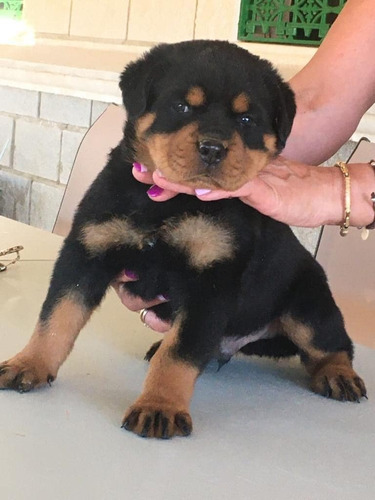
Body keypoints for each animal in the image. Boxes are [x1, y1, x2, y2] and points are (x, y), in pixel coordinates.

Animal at [0, 42, 368, 438]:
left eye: (246, 120)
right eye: (182, 107)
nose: (213, 148)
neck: (173, 202)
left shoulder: (211, 281)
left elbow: (179, 354)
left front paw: (159, 407)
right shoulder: (87, 252)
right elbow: (56, 318)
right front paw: (29, 364)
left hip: (306, 302)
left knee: (333, 343)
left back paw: (338, 376)